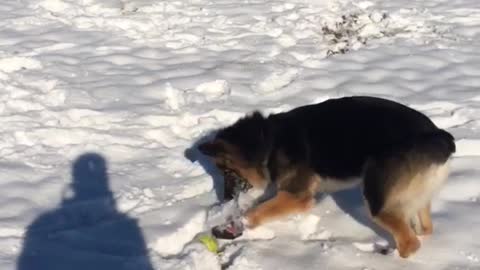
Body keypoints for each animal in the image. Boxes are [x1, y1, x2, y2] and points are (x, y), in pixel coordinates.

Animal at [198, 96, 454, 258]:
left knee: (410, 243)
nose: (224, 199)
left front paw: (233, 226)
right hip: (415, 200)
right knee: (424, 229)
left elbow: (256, 211)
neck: (269, 140)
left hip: (376, 199)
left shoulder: (297, 196)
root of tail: (438, 136)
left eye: (227, 172)